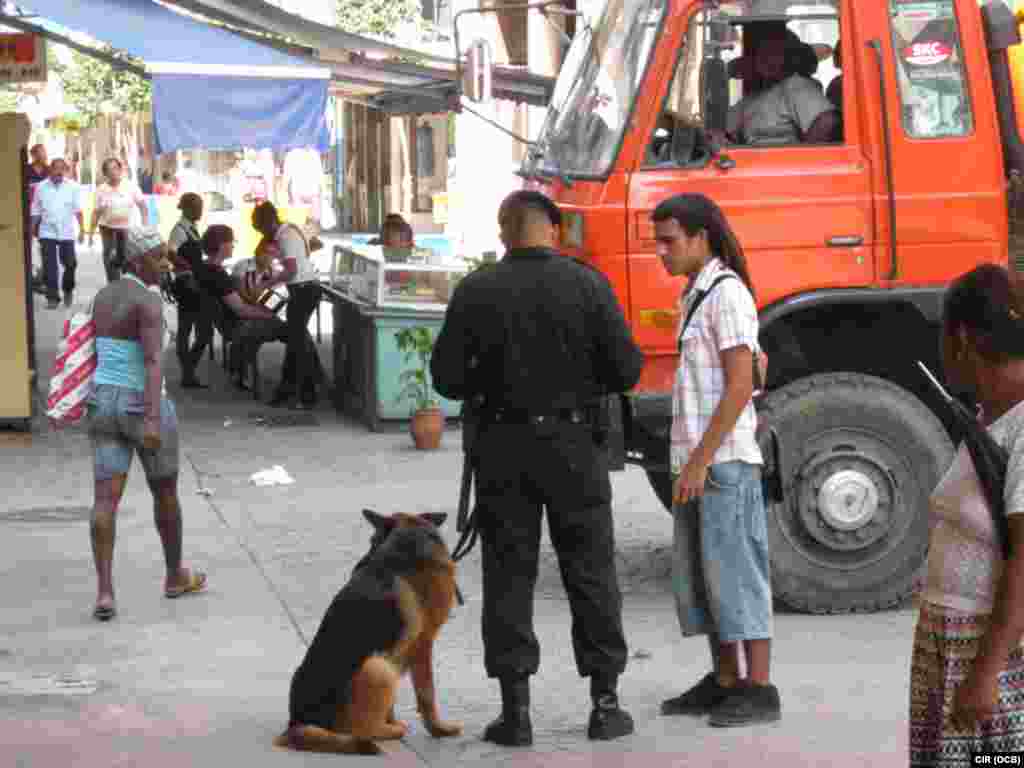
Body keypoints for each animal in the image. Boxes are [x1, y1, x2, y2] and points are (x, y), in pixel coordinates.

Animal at [272, 512, 464, 757]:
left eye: (373, 541)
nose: (357, 566)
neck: (410, 533)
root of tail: (296, 725)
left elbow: (391, 704)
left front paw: (393, 719)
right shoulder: (423, 644)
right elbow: (427, 694)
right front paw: (439, 729)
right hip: (378, 667)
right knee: (363, 730)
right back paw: (391, 731)